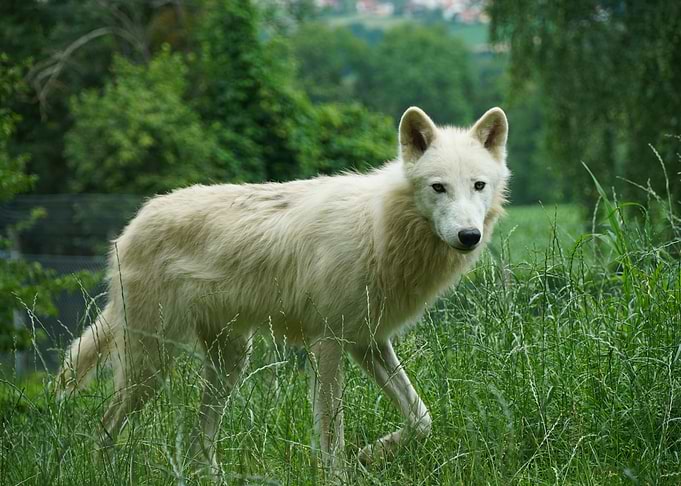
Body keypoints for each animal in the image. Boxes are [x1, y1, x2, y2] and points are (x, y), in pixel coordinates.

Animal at [58, 106, 509, 473]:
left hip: (229, 363)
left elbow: (422, 419)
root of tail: (129, 229)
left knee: (198, 444)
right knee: (103, 427)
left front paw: (373, 454)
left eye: (479, 186)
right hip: (152, 367)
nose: (468, 236)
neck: (380, 229)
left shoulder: (368, 342)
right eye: (438, 187)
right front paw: (340, 474)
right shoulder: (328, 344)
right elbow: (331, 435)